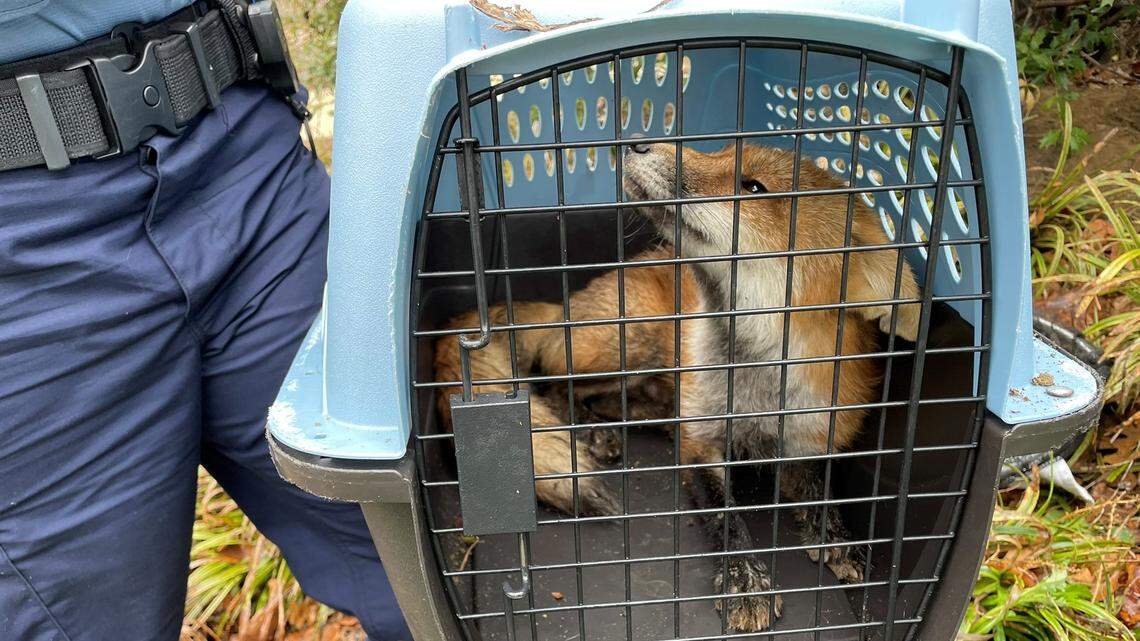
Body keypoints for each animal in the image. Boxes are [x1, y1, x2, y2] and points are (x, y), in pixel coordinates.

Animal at [434, 141, 920, 631]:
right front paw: (745, 579)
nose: (638, 142)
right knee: (553, 382)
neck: (755, 387)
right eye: (721, 149)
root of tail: (567, 306)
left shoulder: (809, 436)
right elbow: (727, 516)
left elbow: (821, 489)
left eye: (754, 187)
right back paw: (593, 432)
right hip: (633, 340)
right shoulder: (701, 445)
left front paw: (837, 536)